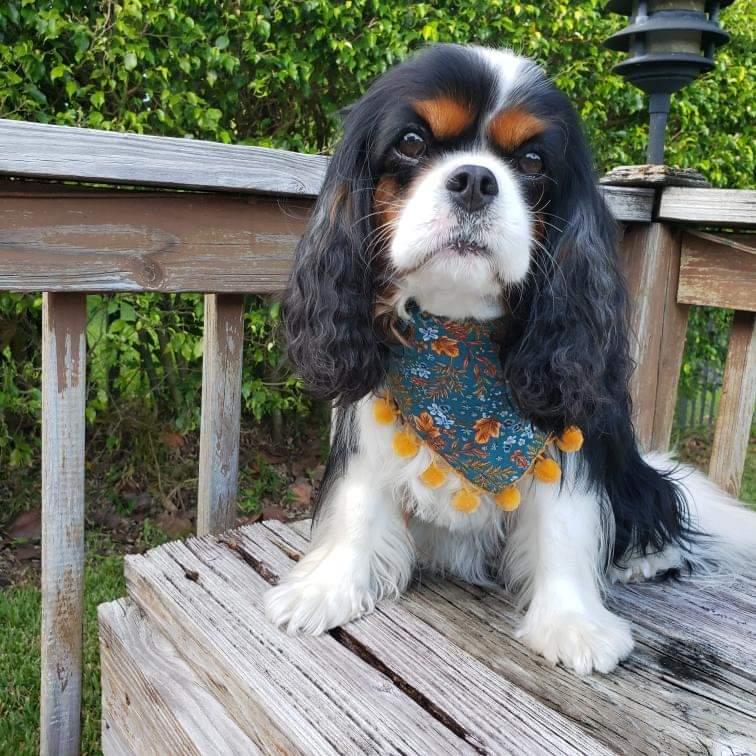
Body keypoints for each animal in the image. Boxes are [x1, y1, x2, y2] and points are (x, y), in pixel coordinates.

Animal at [262, 44, 752, 676]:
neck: (457, 339)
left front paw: (572, 623)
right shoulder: (371, 417)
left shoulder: (569, 433)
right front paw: (328, 589)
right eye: (412, 142)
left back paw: (645, 558)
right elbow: (357, 504)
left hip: (629, 463)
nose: (474, 180)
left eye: (533, 161)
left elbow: (564, 523)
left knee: (653, 499)